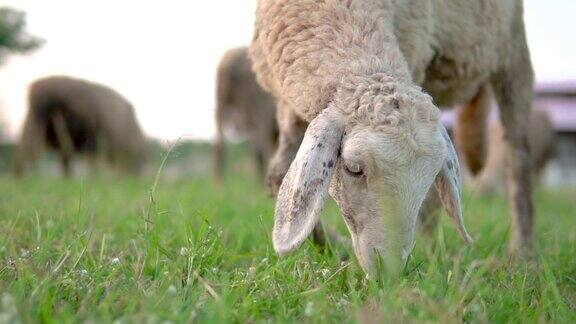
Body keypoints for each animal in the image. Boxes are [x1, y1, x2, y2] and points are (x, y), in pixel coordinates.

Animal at [15, 75, 147, 176]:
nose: (136, 173)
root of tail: (33, 86)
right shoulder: (92, 138)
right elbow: (90, 160)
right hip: (37, 123)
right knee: (28, 147)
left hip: (34, 122)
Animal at [252, 0, 536, 274]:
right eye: (353, 169)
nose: (389, 270)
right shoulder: (289, 100)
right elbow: (278, 175)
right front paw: (331, 248)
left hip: (513, 53)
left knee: (518, 159)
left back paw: (522, 256)